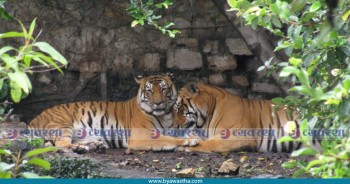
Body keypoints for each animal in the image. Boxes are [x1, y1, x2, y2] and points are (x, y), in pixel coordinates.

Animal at [27, 74, 198, 153]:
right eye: (149, 90)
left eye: (163, 88)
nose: (157, 103)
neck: (165, 115)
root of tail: (34, 119)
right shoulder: (142, 135)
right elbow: (169, 139)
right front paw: (190, 140)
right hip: (62, 125)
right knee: (61, 144)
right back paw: (80, 148)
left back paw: (94, 145)